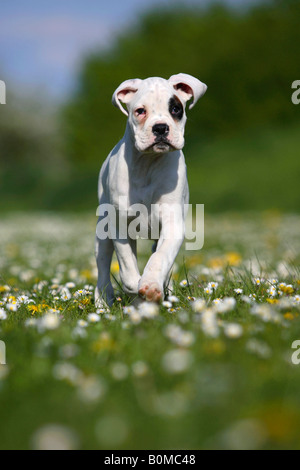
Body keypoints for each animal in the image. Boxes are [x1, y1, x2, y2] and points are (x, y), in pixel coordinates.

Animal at [95, 72, 206, 308]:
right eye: (140, 111)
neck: (148, 164)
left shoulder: (173, 225)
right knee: (102, 268)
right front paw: (135, 289)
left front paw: (151, 286)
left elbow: (160, 258)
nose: (161, 128)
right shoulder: (120, 227)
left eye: (176, 109)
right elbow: (127, 268)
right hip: (103, 232)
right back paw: (103, 301)